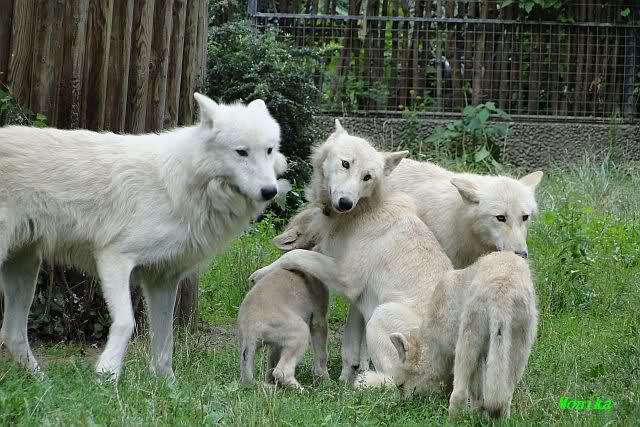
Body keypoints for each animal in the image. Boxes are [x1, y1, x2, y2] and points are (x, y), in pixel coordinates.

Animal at [0, 93, 287, 381]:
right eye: (241, 152)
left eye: (269, 150)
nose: (270, 191)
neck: (181, 186)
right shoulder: (114, 258)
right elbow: (127, 322)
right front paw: (107, 375)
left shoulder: (163, 279)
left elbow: (164, 341)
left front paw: (167, 384)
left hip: (25, 267)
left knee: (11, 333)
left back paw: (42, 382)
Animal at [238, 207, 329, 390]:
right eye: (315, 214)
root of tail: (249, 331)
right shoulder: (318, 320)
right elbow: (322, 356)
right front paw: (326, 382)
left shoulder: (277, 345)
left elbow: (270, 363)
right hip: (300, 331)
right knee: (282, 371)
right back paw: (302, 390)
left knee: (269, 370)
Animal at [249, 120, 453, 387]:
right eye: (346, 164)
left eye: (367, 177)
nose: (345, 202)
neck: (359, 214)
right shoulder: (359, 302)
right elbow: (351, 347)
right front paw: (344, 379)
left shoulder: (345, 278)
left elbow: (293, 256)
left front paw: (260, 274)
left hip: (380, 314)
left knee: (391, 382)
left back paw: (364, 383)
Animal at [390, 251, 538, 418]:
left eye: (400, 386)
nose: (403, 409)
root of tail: (502, 289)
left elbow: (475, 393)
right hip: (519, 348)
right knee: (505, 395)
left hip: (467, 342)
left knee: (459, 394)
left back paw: (454, 419)